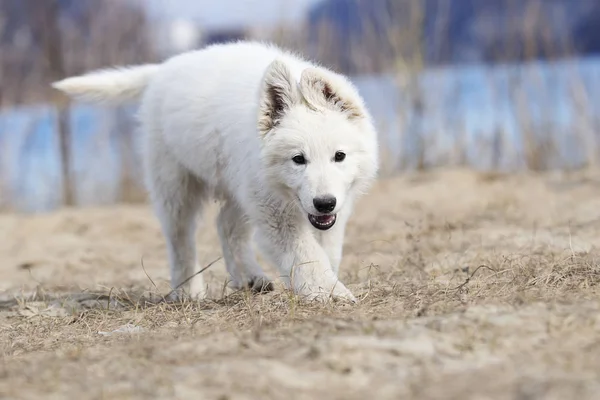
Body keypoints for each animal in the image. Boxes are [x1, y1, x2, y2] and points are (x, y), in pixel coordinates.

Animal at [52, 41, 380, 304]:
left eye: (339, 156)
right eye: (298, 159)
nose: (324, 203)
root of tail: (163, 69)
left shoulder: (331, 209)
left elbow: (326, 250)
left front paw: (325, 285)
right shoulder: (275, 215)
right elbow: (306, 255)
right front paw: (330, 293)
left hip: (238, 185)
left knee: (226, 225)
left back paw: (249, 278)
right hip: (177, 187)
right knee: (180, 239)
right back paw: (188, 291)